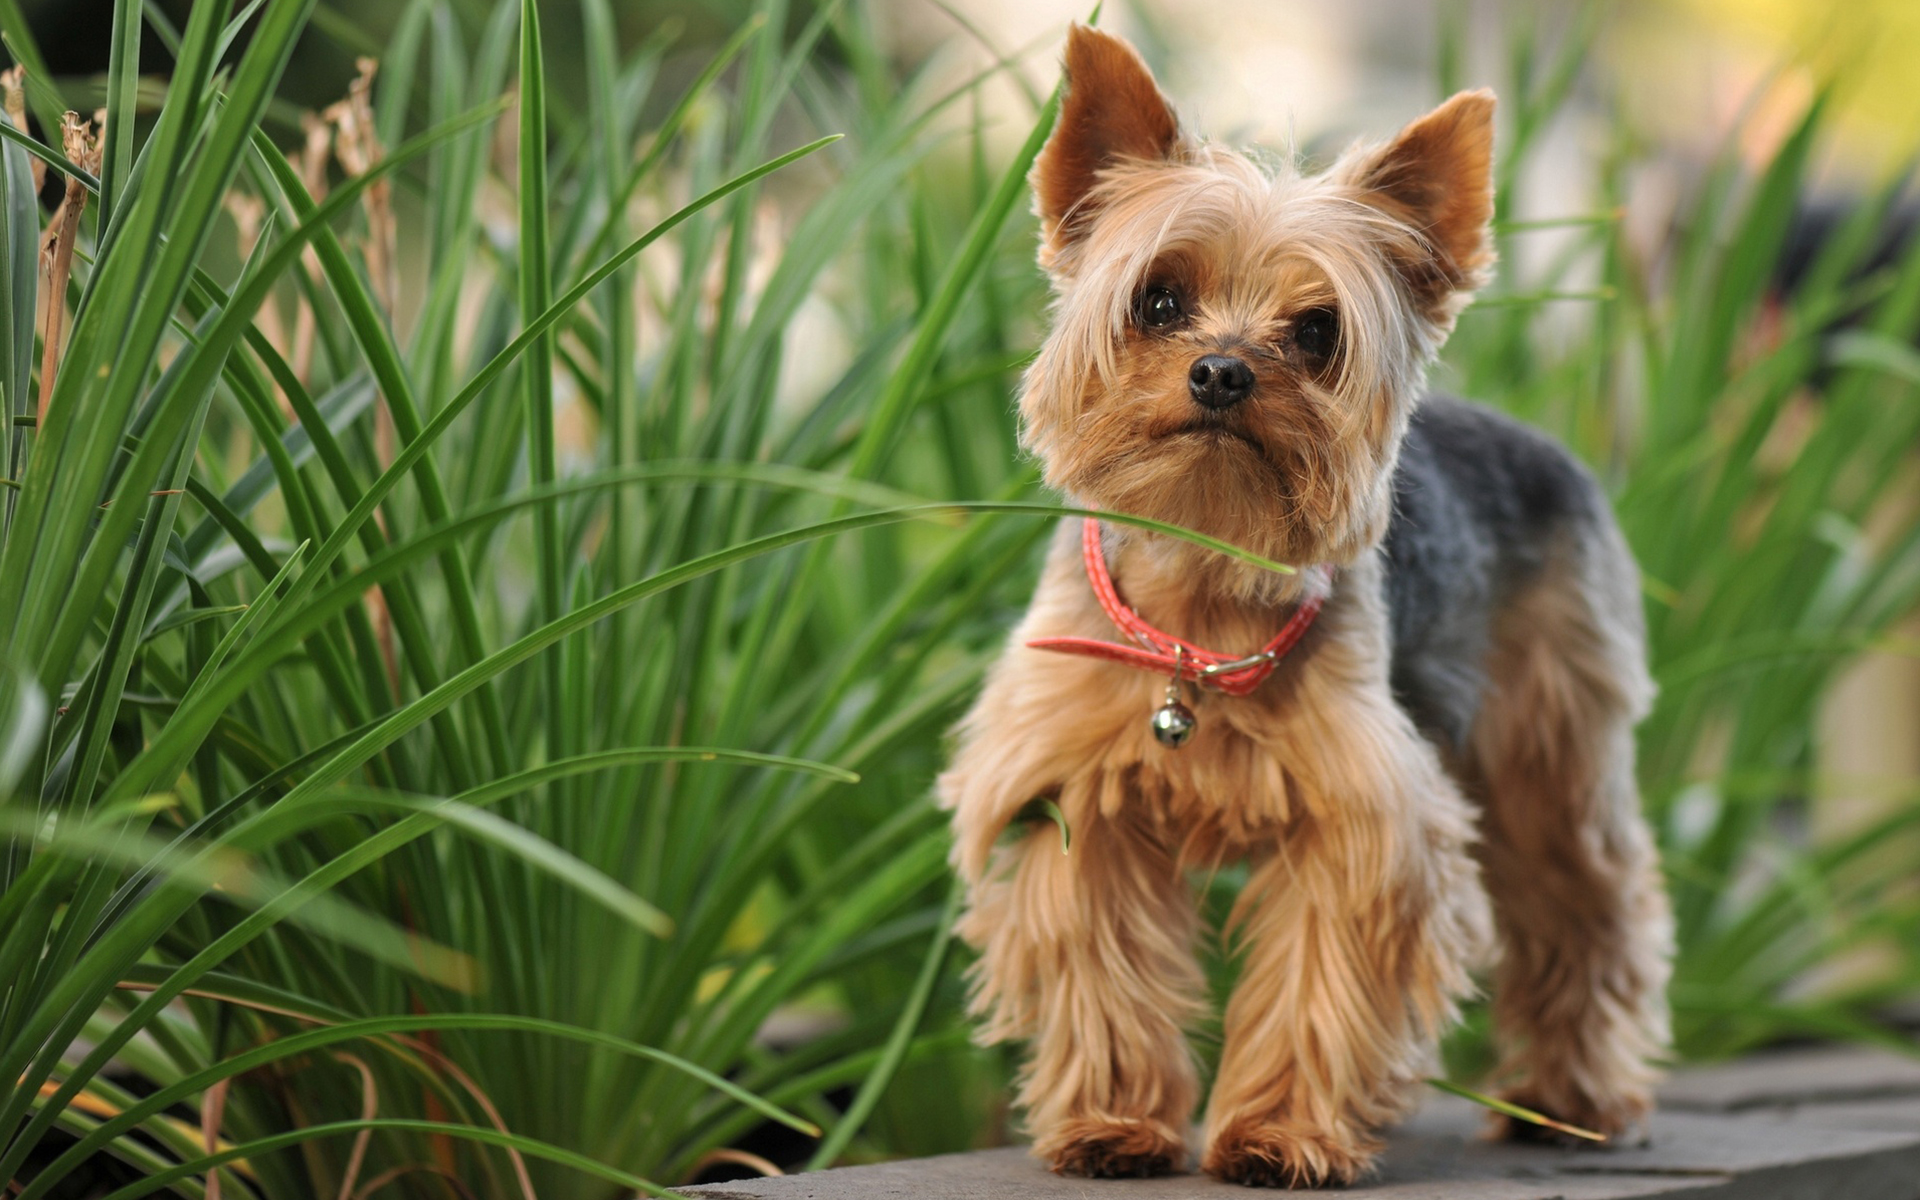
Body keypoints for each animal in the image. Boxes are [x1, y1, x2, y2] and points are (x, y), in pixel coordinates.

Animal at [936, 28, 1674, 1190]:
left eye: (1319, 329)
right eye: (1158, 301)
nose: (1222, 371)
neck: (1203, 583)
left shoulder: (1360, 822)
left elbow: (1319, 979)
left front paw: (1277, 1138)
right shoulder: (1073, 796)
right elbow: (1100, 962)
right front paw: (1111, 1125)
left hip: (1551, 745)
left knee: (1588, 904)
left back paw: (1573, 1101)